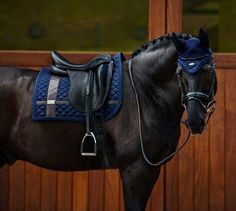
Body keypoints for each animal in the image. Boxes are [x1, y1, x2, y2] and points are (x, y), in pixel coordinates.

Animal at [0, 28, 217, 211]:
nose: (195, 120)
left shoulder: (151, 170)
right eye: (180, 72)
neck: (145, 90)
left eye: (208, 69)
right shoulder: (135, 169)